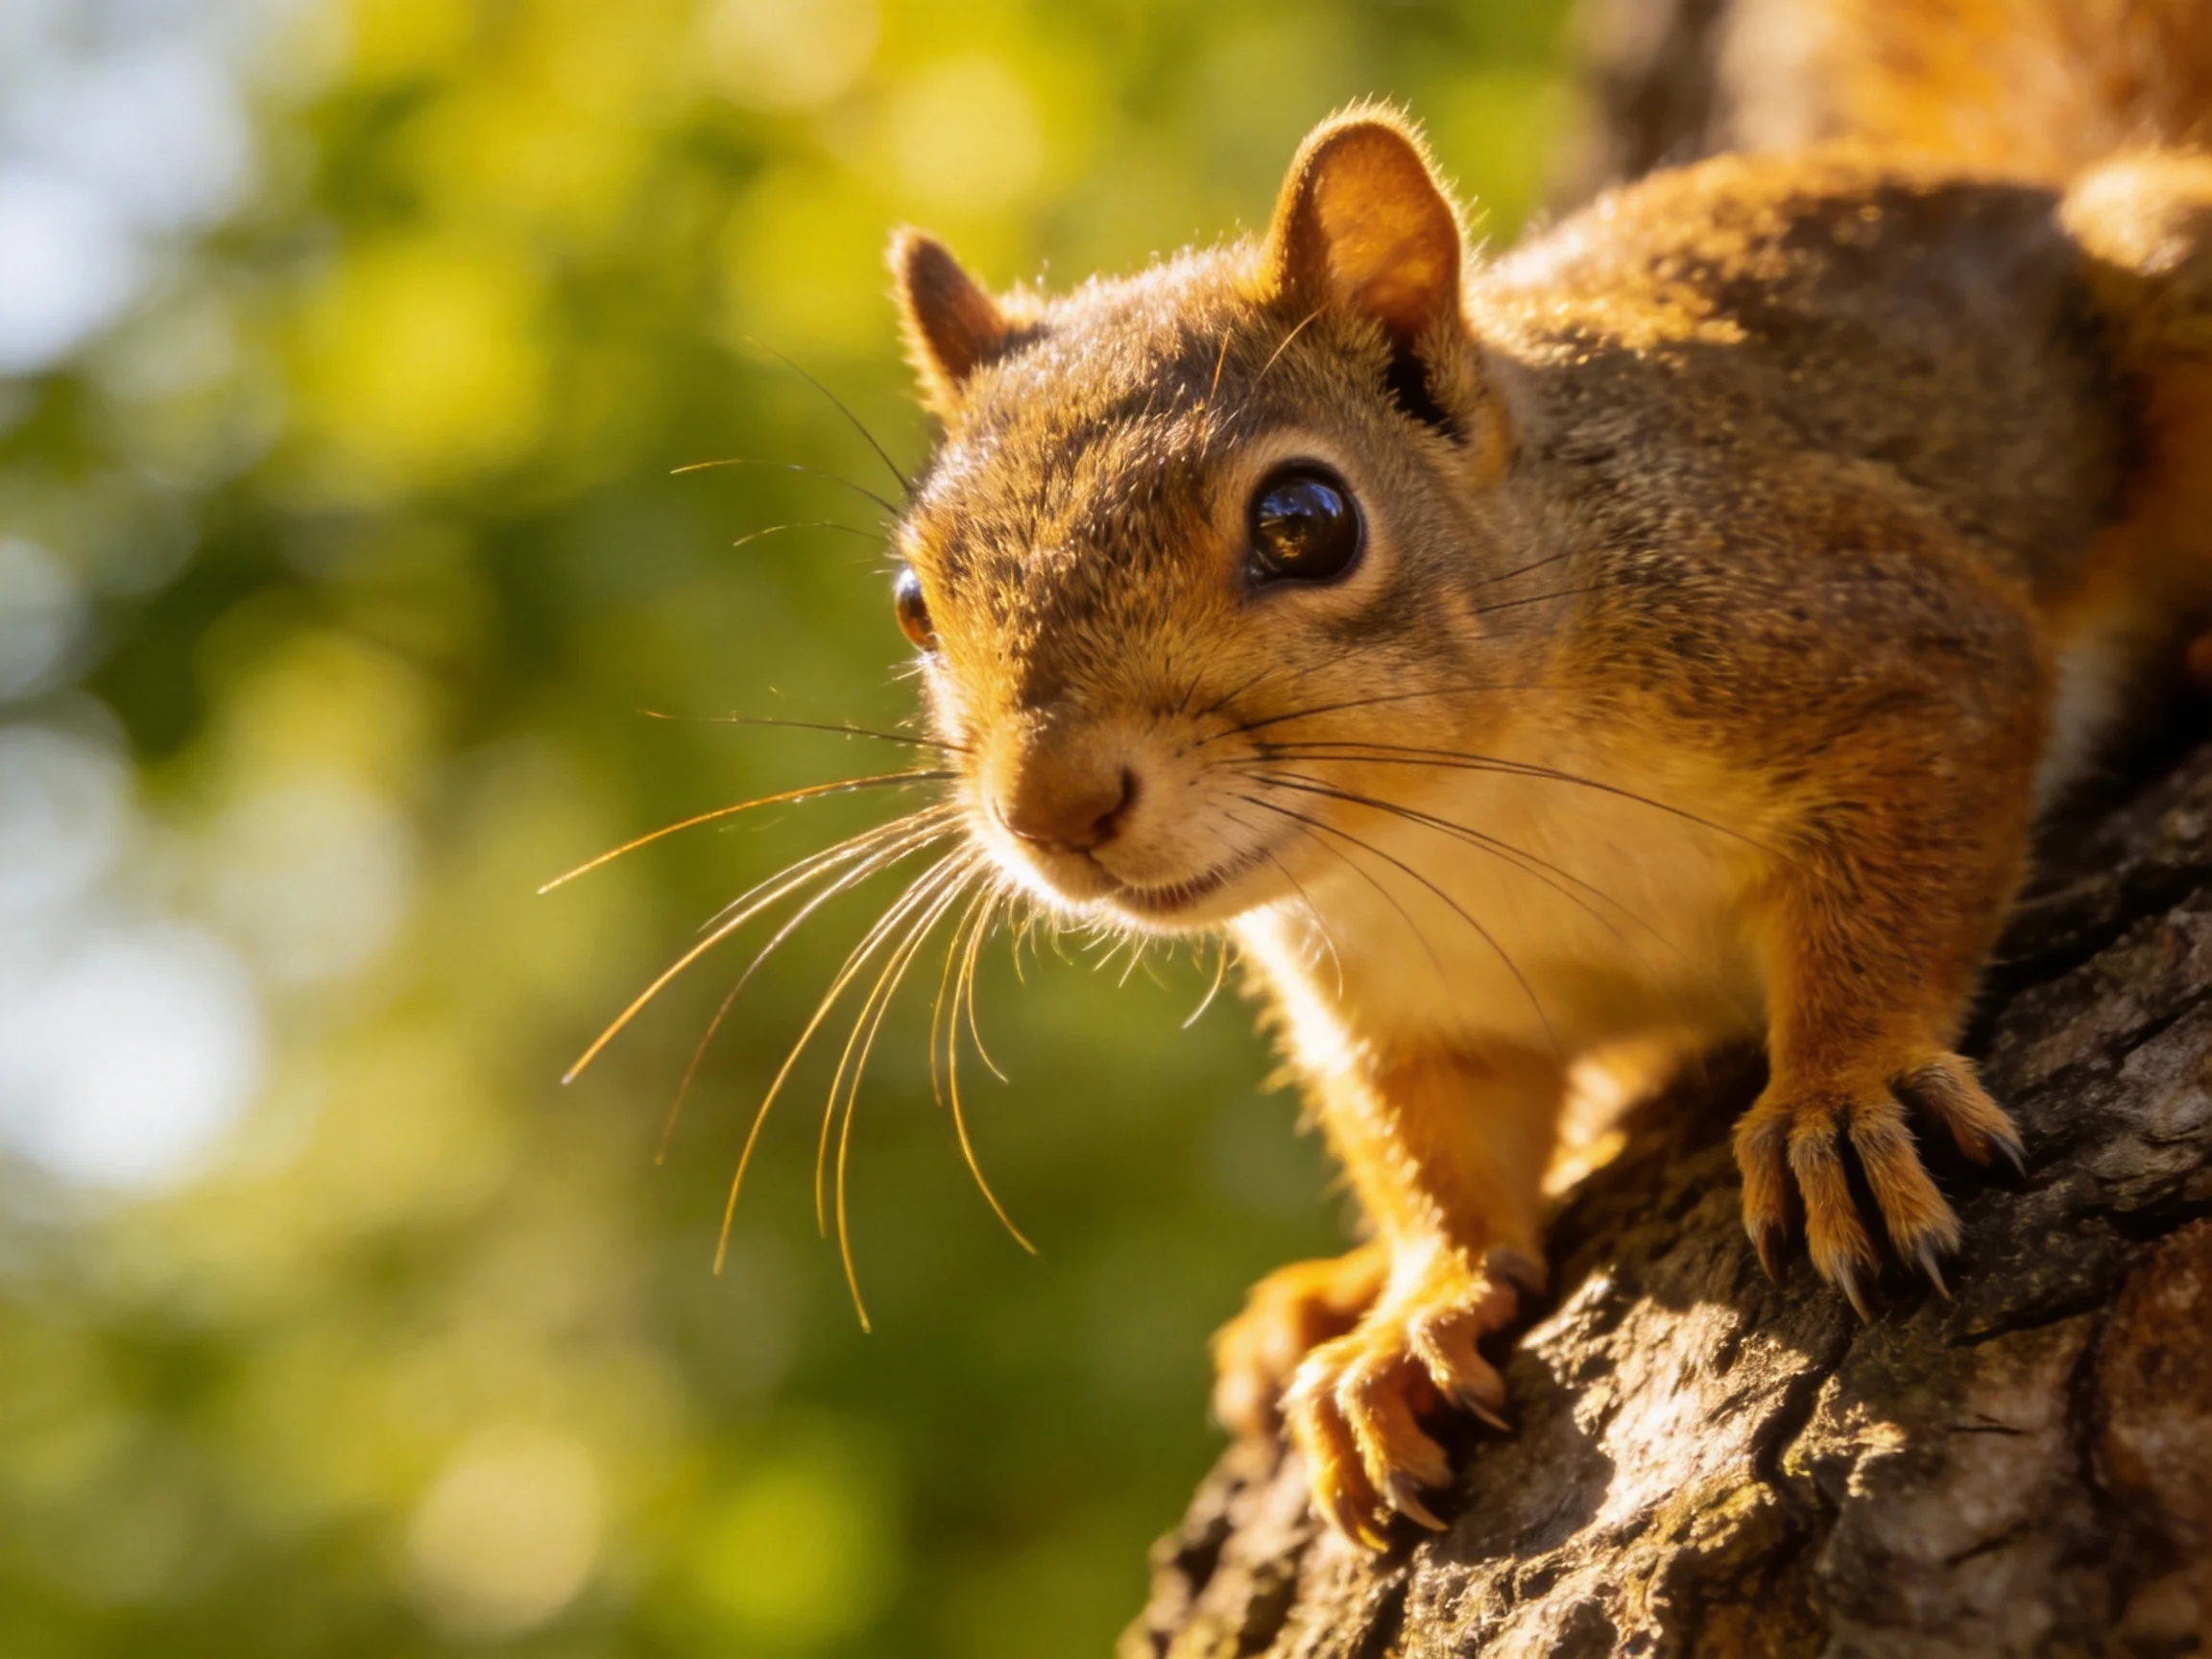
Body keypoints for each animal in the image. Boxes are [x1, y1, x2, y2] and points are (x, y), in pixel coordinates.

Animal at [870, 0, 2212, 1548]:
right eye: (912, 603)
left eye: (1306, 521)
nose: (1054, 810)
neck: (1464, 816)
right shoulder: (1398, 998)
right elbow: (1437, 1149)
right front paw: (1409, 1316)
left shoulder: (1882, 642)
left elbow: (1898, 876)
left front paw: (1844, 1098)